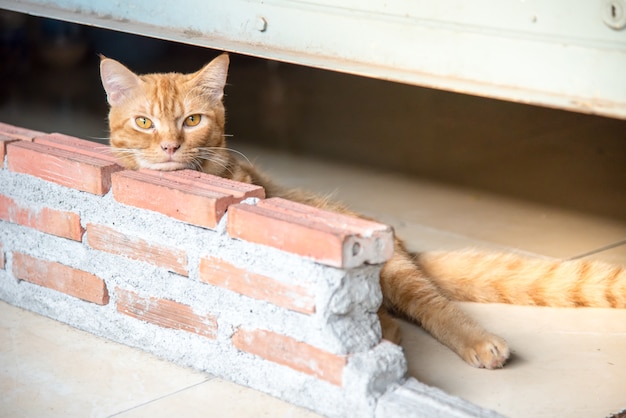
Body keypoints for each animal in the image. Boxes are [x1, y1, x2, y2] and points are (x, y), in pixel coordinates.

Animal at [100, 52, 620, 370]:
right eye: (144, 122)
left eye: (192, 120)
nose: (169, 146)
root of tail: (402, 244)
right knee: (388, 320)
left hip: (400, 278)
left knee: (427, 308)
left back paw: (474, 342)